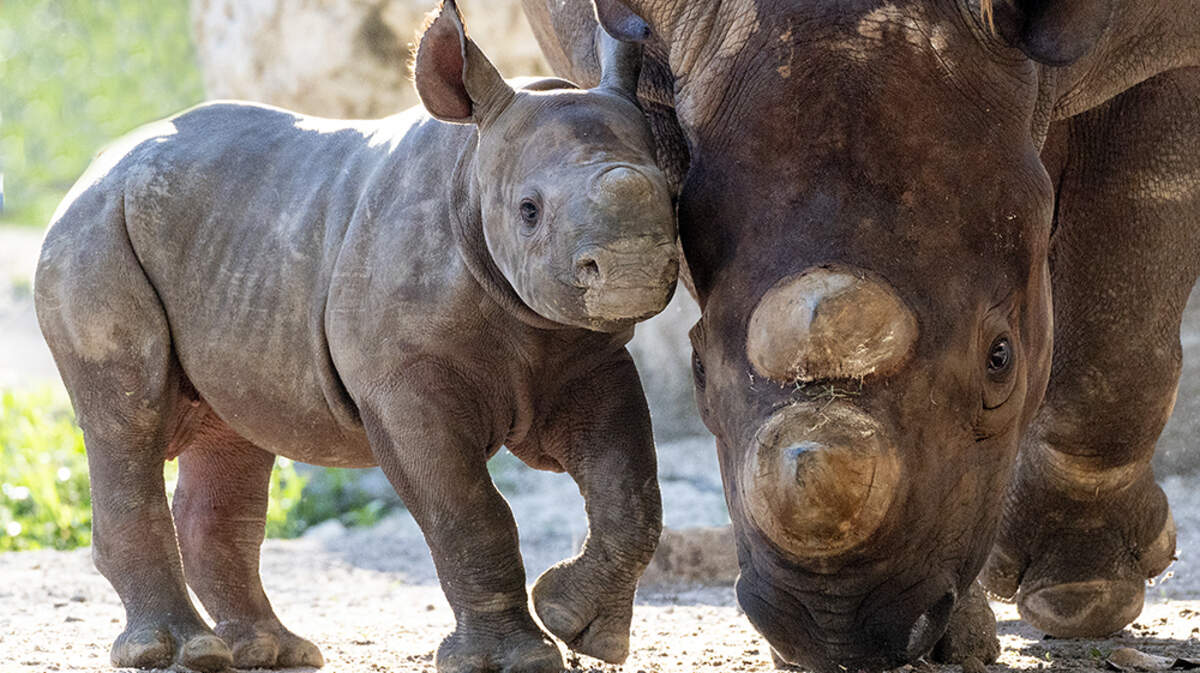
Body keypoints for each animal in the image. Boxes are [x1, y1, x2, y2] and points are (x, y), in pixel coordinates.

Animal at [34, 2, 678, 671]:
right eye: (529, 210)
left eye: (676, 194)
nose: (631, 268)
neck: (472, 168)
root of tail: (98, 165)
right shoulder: (402, 382)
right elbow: (469, 513)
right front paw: (518, 658)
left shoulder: (588, 355)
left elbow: (631, 492)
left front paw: (581, 628)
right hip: (94, 234)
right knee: (126, 421)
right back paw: (181, 651)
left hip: (226, 244)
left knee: (231, 431)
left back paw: (274, 651)